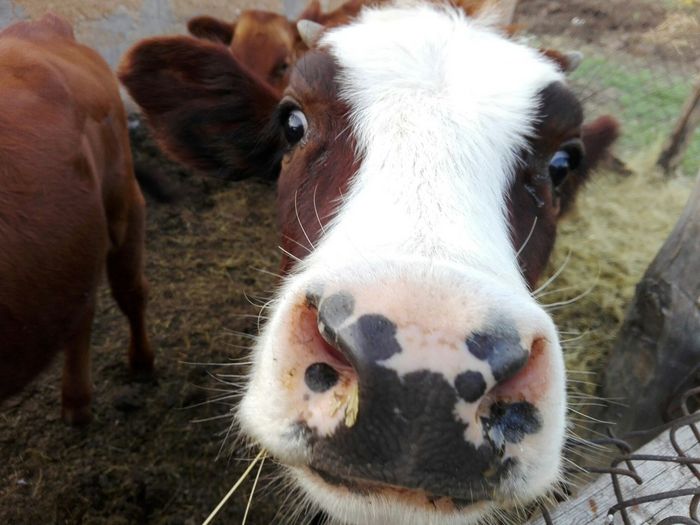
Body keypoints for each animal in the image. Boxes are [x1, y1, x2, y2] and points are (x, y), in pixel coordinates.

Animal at [0, 14, 153, 424]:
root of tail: (40, 26)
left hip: (123, 202)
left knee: (130, 291)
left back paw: (140, 363)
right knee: (81, 307)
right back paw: (77, 401)